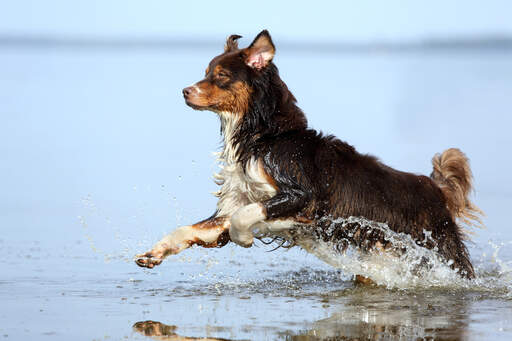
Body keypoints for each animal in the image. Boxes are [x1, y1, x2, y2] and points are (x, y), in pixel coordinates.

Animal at [134, 29, 482, 278]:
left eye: (221, 75)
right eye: (206, 71)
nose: (184, 91)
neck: (264, 137)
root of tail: (435, 187)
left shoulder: (301, 194)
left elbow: (243, 216)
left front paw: (243, 236)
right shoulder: (238, 199)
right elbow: (197, 227)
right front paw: (154, 253)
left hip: (440, 248)